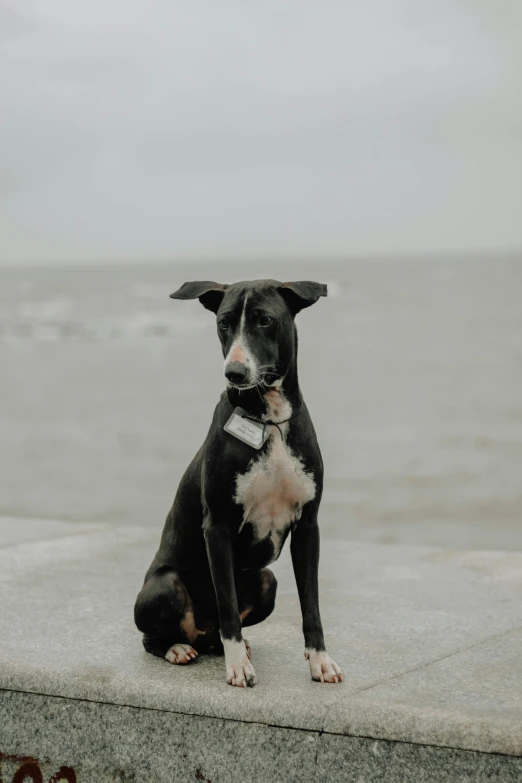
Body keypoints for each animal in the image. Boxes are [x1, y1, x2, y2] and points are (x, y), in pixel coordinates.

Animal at [135, 278, 342, 688]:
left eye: (265, 320)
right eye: (224, 322)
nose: (234, 372)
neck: (269, 419)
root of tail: (198, 634)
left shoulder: (308, 526)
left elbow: (311, 604)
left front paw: (320, 661)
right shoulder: (217, 526)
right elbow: (228, 604)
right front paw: (238, 668)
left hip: (266, 582)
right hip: (164, 586)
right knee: (156, 637)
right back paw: (179, 648)